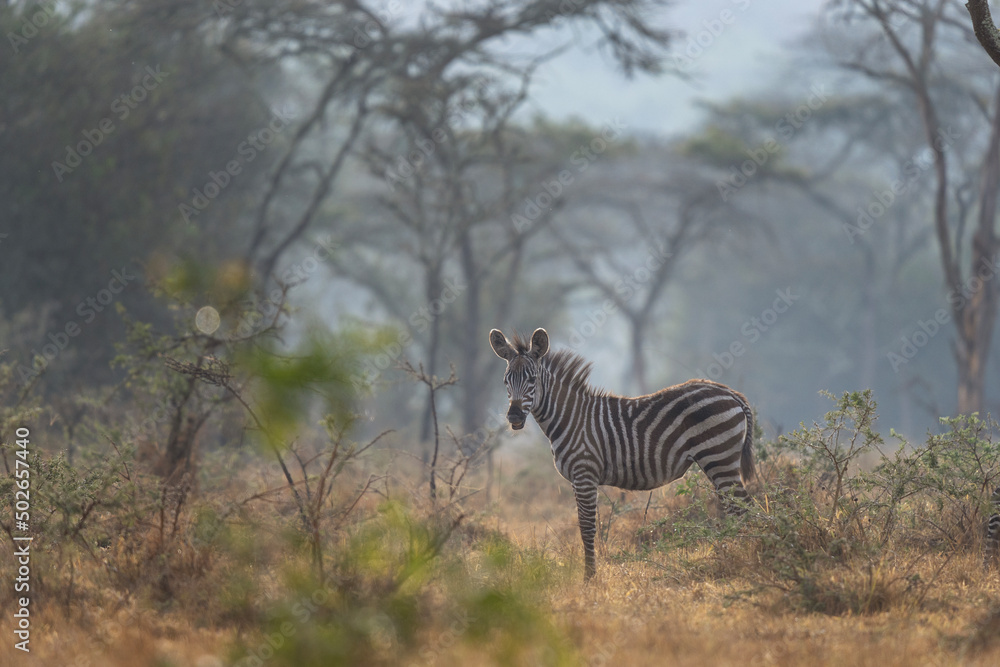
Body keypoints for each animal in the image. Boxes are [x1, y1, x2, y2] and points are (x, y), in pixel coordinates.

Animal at [489, 327, 755, 581]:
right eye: (505, 380)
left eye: (532, 379)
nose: (514, 416)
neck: (570, 418)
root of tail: (731, 393)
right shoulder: (576, 479)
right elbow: (584, 525)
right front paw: (590, 575)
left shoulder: (584, 473)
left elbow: (587, 527)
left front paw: (589, 578)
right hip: (719, 461)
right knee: (736, 507)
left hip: (719, 458)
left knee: (743, 508)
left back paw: (747, 553)